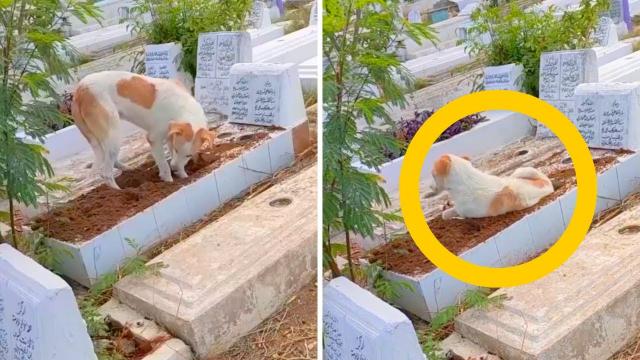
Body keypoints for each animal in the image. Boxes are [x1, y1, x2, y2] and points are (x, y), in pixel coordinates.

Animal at [70, 69, 215, 188]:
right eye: (176, 149)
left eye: (189, 155)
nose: (174, 167)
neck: (184, 108)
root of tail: (80, 90)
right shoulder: (154, 139)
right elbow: (164, 164)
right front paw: (169, 181)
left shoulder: (171, 135)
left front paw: (183, 176)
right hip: (113, 134)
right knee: (106, 173)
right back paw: (119, 192)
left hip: (108, 138)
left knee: (109, 159)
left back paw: (126, 169)